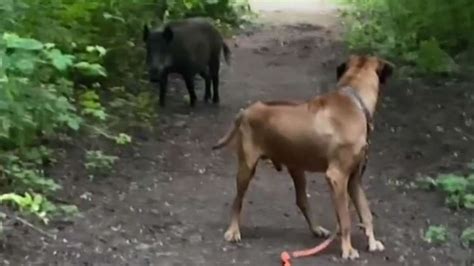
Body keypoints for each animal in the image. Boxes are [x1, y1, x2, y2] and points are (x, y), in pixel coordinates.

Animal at [213, 54, 394, 260]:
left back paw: (316, 229)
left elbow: (366, 212)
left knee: (302, 201)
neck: (354, 100)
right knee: (237, 200)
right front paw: (348, 249)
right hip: (247, 168)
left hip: (297, 168)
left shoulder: (354, 179)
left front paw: (372, 242)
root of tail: (246, 110)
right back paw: (233, 231)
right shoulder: (337, 177)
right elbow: (346, 219)